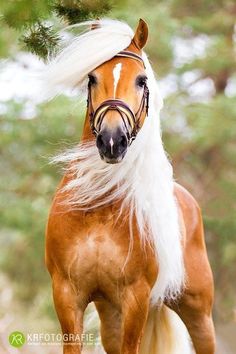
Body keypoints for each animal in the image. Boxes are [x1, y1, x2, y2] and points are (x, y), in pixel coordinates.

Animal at [44, 18, 216, 354]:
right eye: (92, 78)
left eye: (141, 80)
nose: (112, 141)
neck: (98, 208)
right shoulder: (67, 294)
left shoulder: (135, 297)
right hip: (110, 313)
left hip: (198, 313)